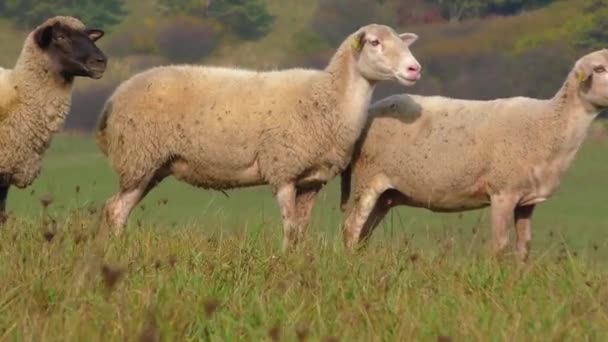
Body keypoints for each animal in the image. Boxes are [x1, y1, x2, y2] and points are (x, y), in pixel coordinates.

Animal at [98, 23, 422, 248]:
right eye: (375, 42)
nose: (414, 68)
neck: (328, 99)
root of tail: (113, 98)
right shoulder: (283, 169)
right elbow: (290, 228)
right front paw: (284, 261)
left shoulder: (311, 179)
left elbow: (301, 230)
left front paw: (298, 260)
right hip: (138, 158)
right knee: (115, 209)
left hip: (150, 167)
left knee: (117, 209)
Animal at [340, 49, 608, 260]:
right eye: (600, 68)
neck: (549, 124)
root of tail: (369, 111)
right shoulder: (502, 193)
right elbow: (500, 247)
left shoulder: (526, 201)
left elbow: (524, 248)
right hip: (369, 178)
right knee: (351, 228)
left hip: (387, 194)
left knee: (364, 233)